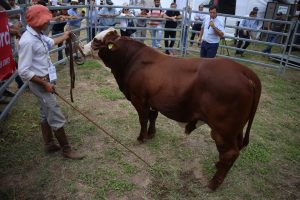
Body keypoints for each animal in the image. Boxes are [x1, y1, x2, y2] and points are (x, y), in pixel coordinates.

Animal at [86, 28, 260, 191]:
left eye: (96, 40)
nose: (84, 47)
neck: (131, 60)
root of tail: (245, 72)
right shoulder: (153, 101)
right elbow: (153, 117)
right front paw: (151, 134)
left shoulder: (139, 99)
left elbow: (143, 118)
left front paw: (141, 137)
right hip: (236, 129)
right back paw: (217, 167)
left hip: (222, 129)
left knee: (230, 153)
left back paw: (213, 184)